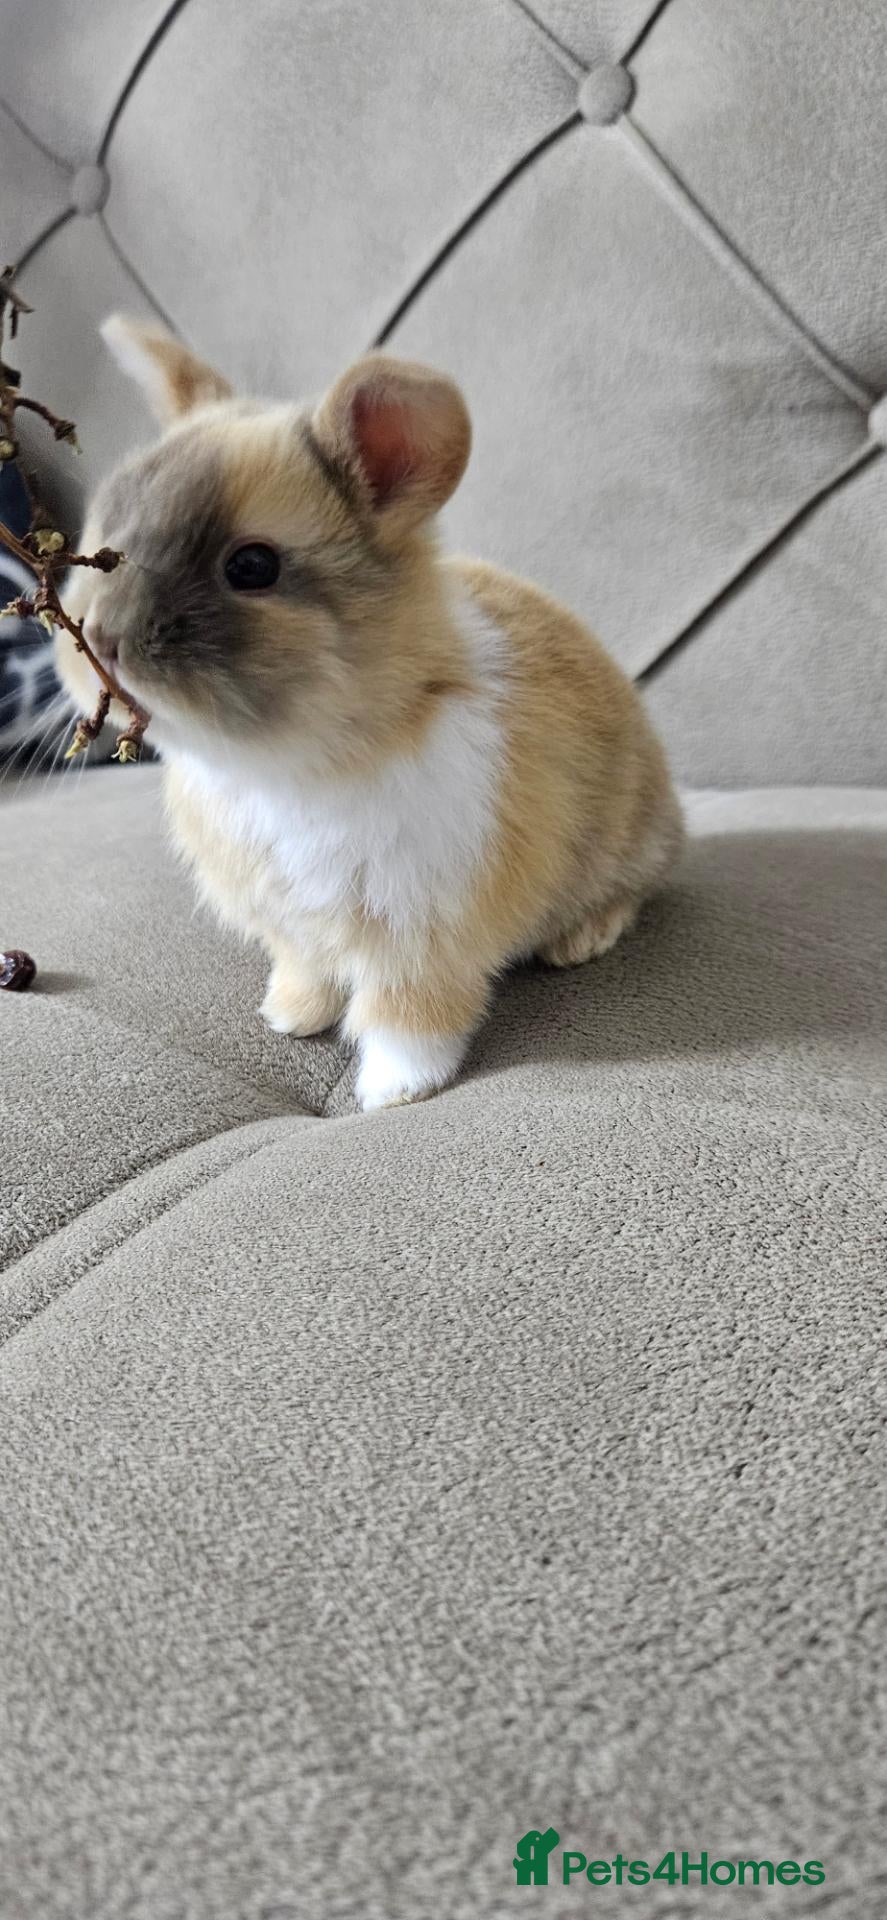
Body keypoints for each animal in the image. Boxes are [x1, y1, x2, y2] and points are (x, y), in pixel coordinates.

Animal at [57, 318, 683, 1111]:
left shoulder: (425, 932)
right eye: (102, 530)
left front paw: (392, 1092)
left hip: (627, 844)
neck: (290, 762)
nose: (99, 641)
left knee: (631, 891)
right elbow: (307, 969)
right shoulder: (294, 928)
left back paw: (580, 942)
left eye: (252, 567)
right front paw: (289, 1018)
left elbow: (407, 1013)